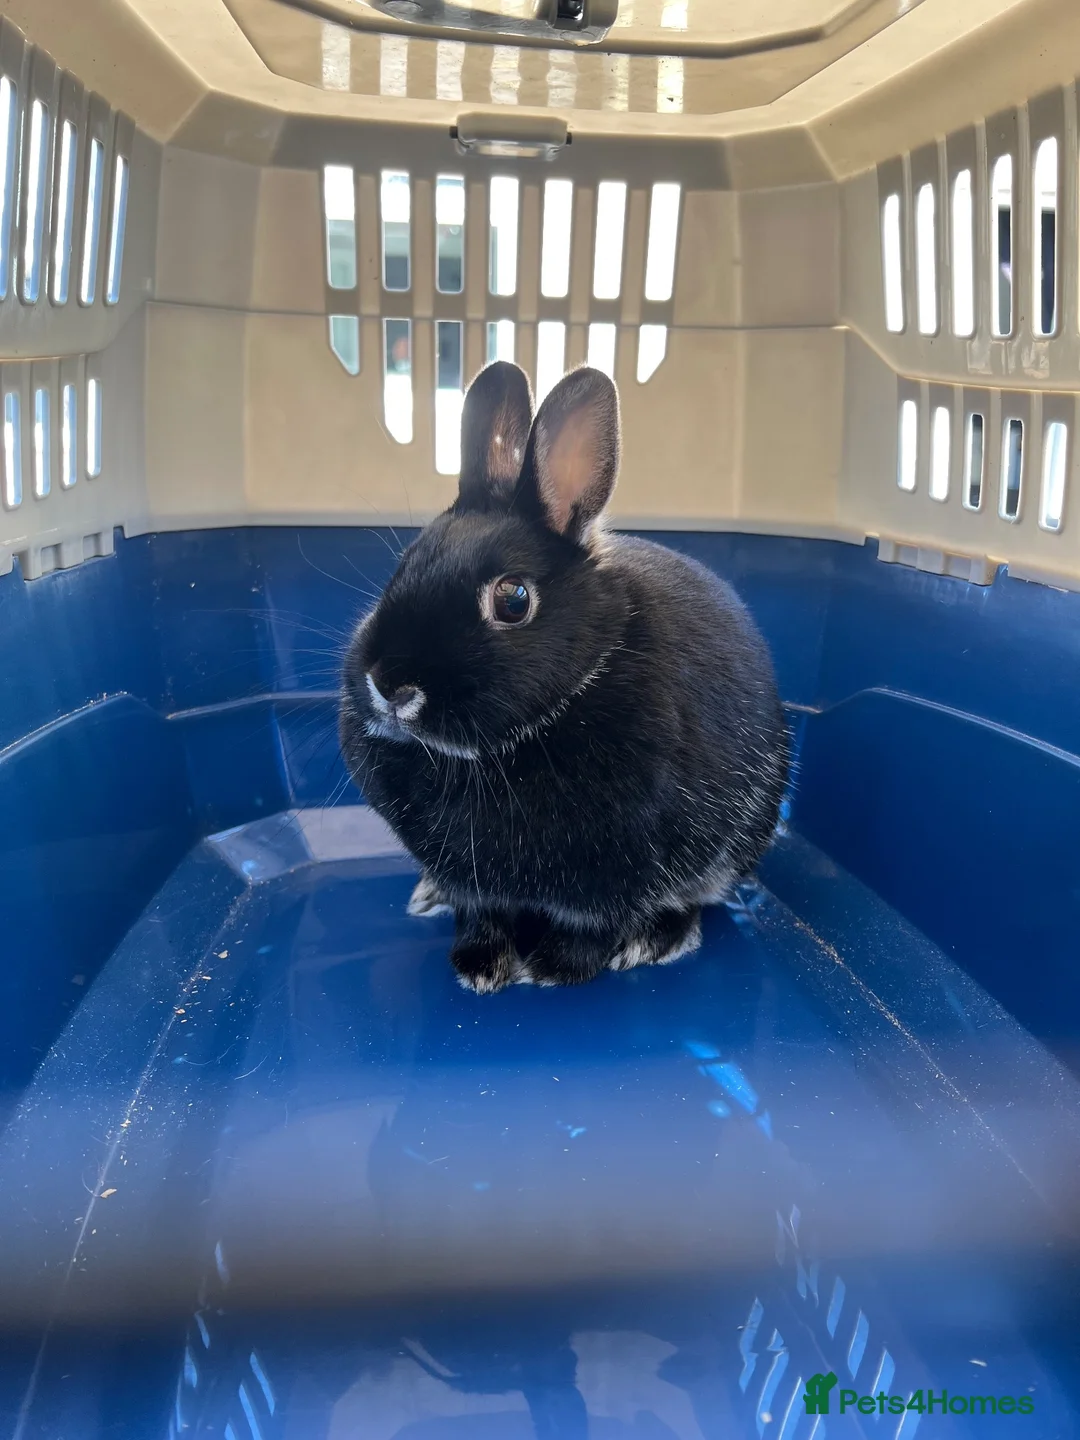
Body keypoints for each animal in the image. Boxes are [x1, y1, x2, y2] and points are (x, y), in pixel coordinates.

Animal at [339, 360, 789, 992]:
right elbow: (477, 912)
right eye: (404, 566)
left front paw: (550, 969)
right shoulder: (472, 882)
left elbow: (593, 928)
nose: (388, 684)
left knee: (696, 900)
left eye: (513, 600)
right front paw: (477, 965)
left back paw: (656, 941)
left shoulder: (619, 875)